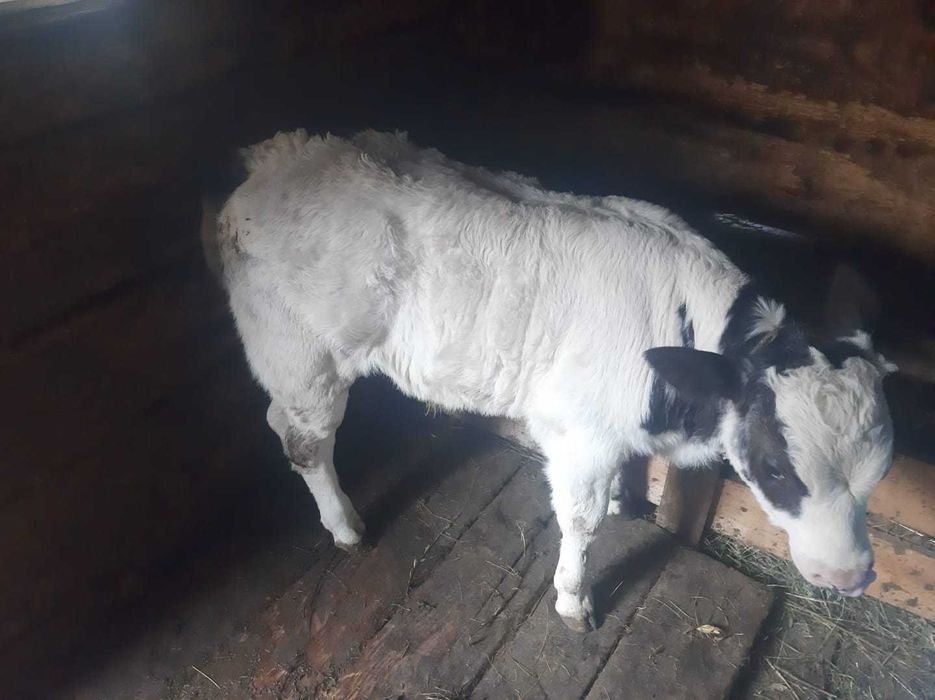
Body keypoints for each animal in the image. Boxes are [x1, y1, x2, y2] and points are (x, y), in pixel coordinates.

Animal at [202, 129, 895, 632]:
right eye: (776, 467)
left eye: (879, 473)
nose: (849, 577)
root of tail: (276, 155)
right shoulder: (580, 433)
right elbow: (581, 522)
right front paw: (573, 601)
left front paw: (622, 499)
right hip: (299, 352)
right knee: (304, 438)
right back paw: (344, 526)